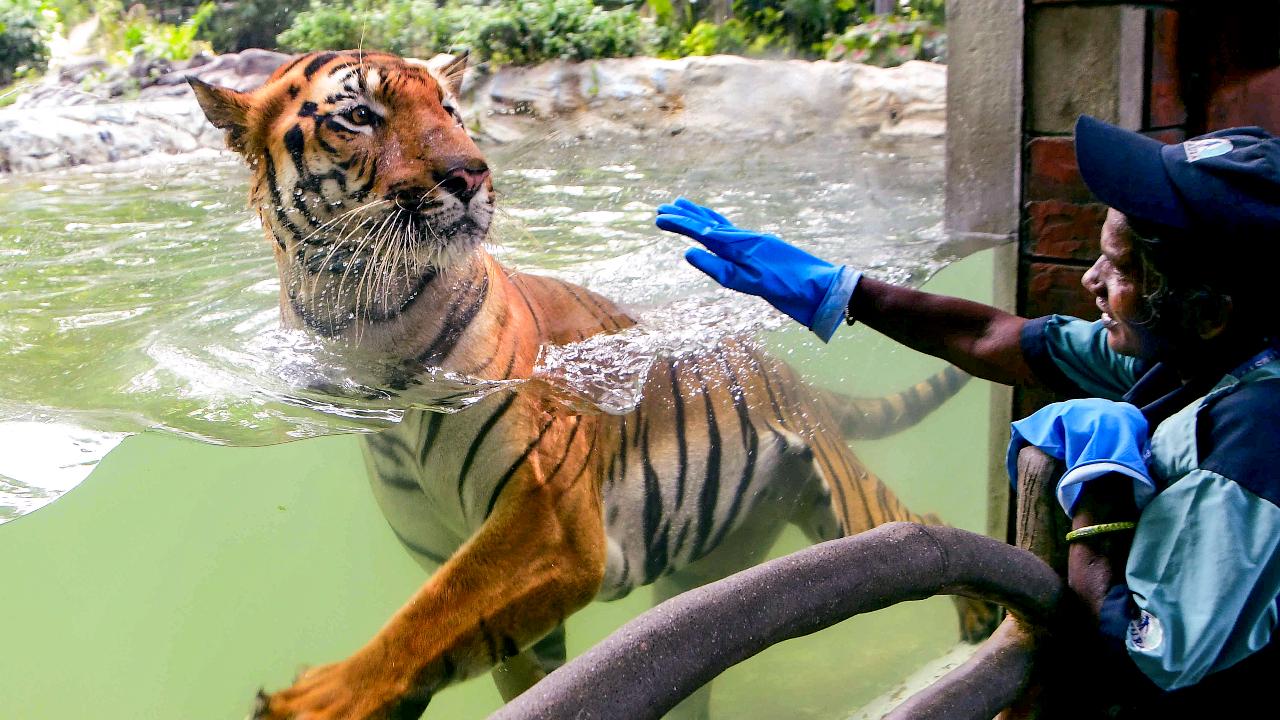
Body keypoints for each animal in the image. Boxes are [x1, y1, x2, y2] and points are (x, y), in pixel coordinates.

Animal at [188, 50, 999, 720]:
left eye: (450, 109)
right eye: (359, 116)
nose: (472, 172)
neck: (363, 325)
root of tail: (790, 373)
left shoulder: (546, 517)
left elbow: (432, 615)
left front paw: (318, 700)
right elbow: (488, 647)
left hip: (843, 498)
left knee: (917, 525)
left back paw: (978, 615)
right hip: (710, 557)